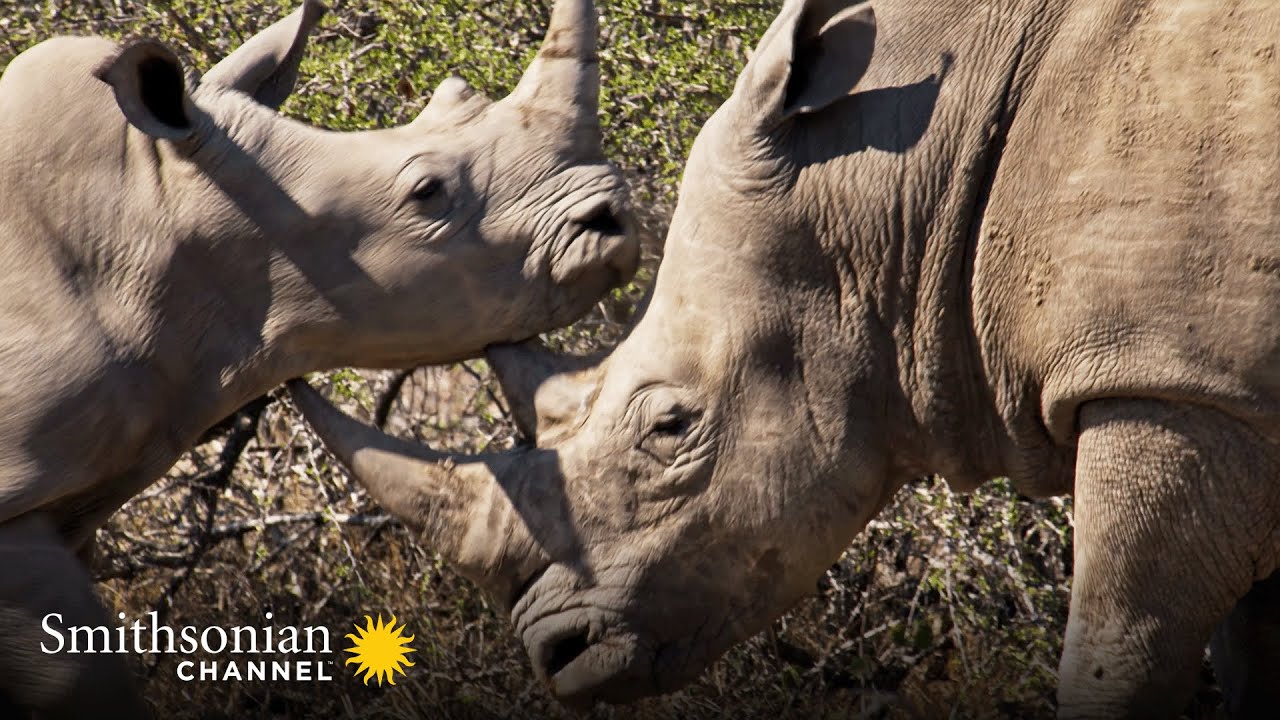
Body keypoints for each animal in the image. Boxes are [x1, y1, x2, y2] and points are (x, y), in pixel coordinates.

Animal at [289, 0, 1280, 716]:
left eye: (669, 424)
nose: (554, 655)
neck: (903, 170)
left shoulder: (1170, 385)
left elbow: (1117, 655)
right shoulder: (1222, 394)